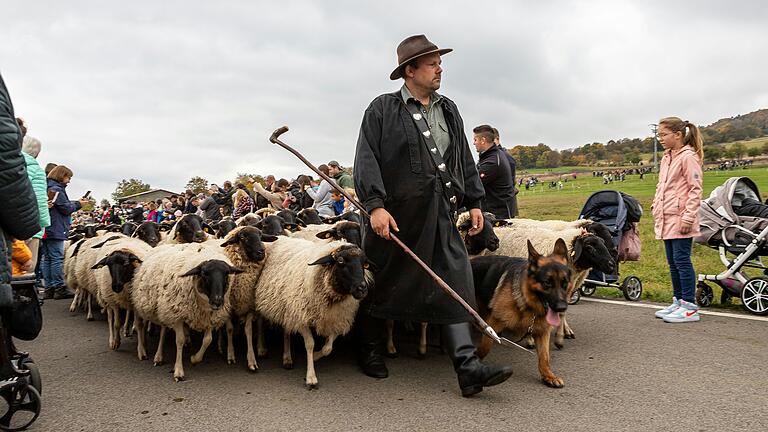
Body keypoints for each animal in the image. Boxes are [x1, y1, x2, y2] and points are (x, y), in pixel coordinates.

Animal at [130, 243, 242, 382]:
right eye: (204, 274)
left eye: (226, 274)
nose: (217, 301)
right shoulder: (178, 315)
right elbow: (180, 340)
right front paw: (178, 371)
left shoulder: (208, 317)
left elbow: (208, 340)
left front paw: (194, 359)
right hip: (153, 306)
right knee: (145, 328)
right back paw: (149, 354)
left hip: (164, 309)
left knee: (163, 330)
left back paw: (159, 356)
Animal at [254, 238, 370, 390]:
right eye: (340, 261)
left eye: (364, 263)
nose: (362, 289)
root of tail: (283, 238)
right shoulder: (302, 318)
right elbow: (310, 344)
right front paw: (311, 377)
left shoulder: (336, 319)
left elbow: (328, 348)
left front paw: (315, 356)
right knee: (264, 323)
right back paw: (266, 350)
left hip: (287, 306)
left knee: (287, 330)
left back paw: (287, 358)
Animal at [468, 240, 568, 388]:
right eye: (547, 283)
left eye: (564, 284)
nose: (562, 308)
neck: (527, 303)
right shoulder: (492, 324)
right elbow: (485, 346)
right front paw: (476, 361)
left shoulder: (543, 332)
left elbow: (544, 356)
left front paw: (548, 376)